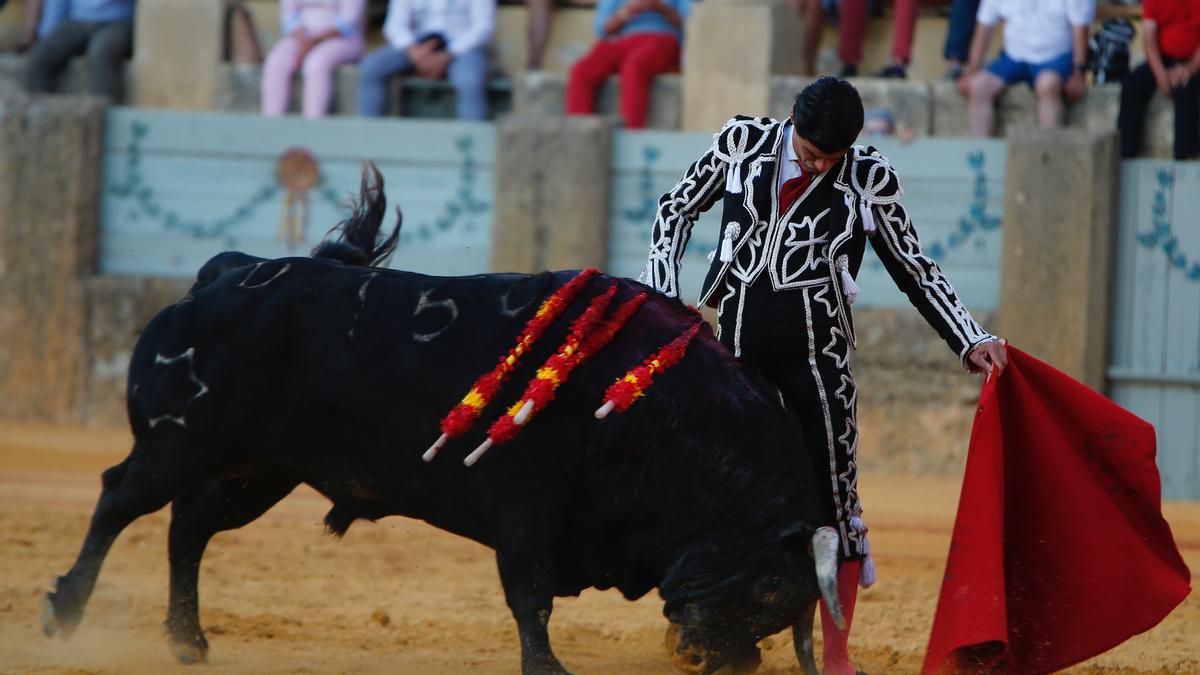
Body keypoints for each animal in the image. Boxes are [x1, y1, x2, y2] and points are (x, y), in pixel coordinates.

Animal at [44, 169, 844, 672]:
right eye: (770, 590)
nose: (722, 662)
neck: (658, 418)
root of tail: (225, 272)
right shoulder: (526, 507)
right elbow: (528, 596)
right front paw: (547, 668)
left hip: (259, 471)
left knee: (188, 526)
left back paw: (188, 640)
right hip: (176, 443)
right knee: (120, 499)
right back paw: (65, 612)